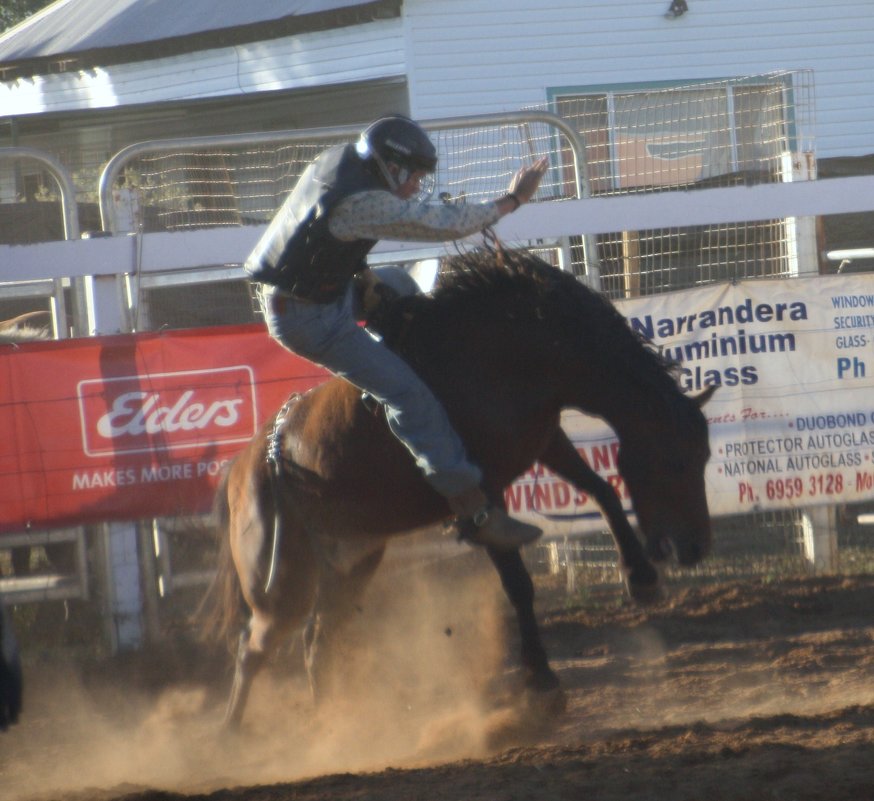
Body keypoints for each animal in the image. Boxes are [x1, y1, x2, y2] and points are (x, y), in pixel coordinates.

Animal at [206, 248, 716, 724]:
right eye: (674, 461)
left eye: (704, 457)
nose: (694, 548)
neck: (511, 349)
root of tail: (248, 463)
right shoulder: (484, 486)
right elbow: (518, 584)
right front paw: (543, 683)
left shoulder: (546, 439)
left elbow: (603, 490)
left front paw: (641, 577)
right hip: (281, 579)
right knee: (254, 647)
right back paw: (234, 735)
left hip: (351, 560)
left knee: (316, 641)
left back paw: (337, 725)